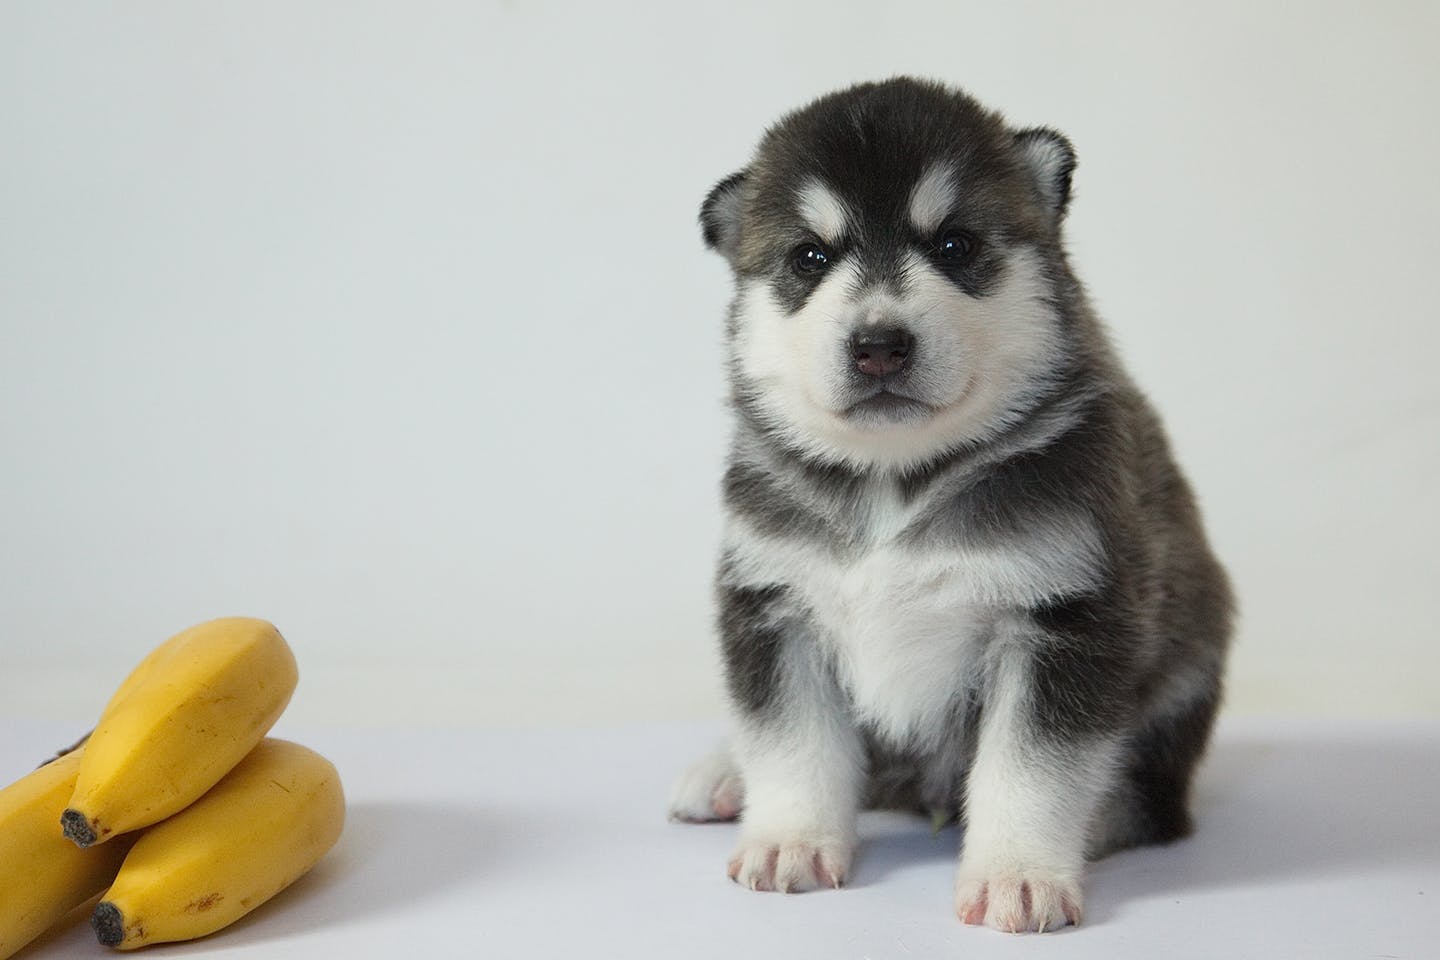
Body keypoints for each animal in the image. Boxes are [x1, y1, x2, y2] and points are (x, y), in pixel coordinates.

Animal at [668, 78, 1232, 932]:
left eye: (955, 246)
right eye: (810, 257)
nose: (879, 345)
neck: (893, 481)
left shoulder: (1062, 618)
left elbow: (1029, 768)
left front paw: (1018, 875)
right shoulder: (775, 605)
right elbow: (793, 742)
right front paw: (791, 839)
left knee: (1152, 802)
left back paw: (1103, 817)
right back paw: (723, 774)